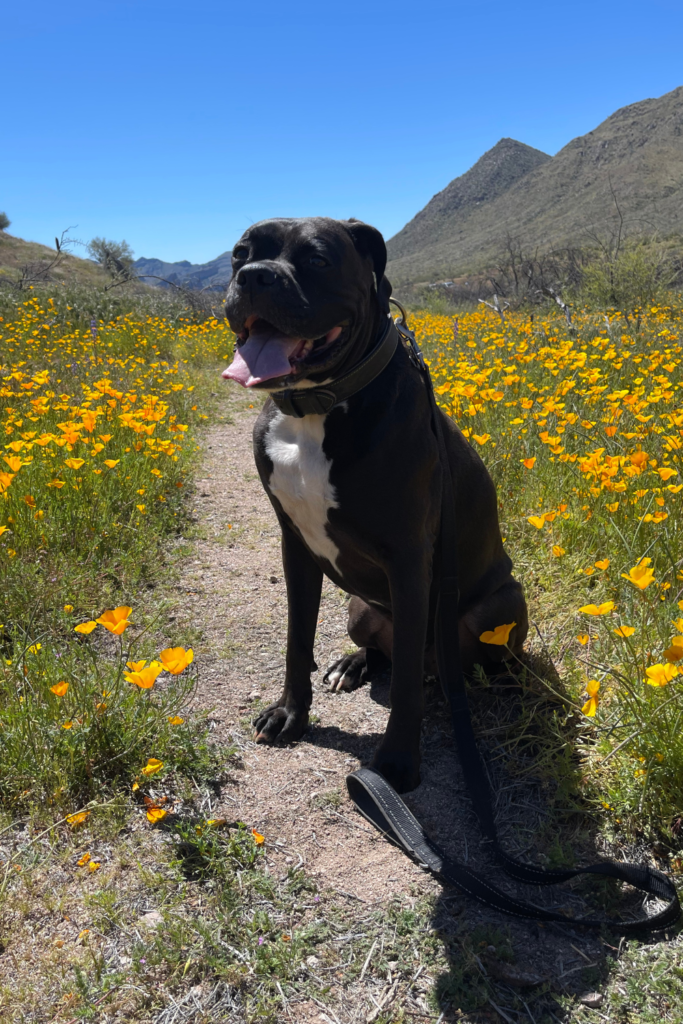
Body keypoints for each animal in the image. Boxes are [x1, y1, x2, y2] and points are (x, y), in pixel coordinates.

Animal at [222, 216, 528, 790]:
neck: (315, 408)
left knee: (469, 659)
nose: (254, 277)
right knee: (382, 650)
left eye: (318, 259)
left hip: (498, 605)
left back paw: (503, 685)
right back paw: (353, 664)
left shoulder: (408, 561)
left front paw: (397, 761)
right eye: (239, 254)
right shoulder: (294, 545)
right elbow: (297, 639)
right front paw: (290, 714)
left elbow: (405, 678)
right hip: (360, 608)